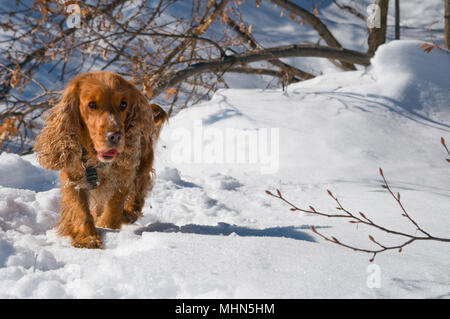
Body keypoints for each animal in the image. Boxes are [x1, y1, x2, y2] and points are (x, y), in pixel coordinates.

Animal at [33, 72, 167, 250]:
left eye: (123, 104)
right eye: (92, 104)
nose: (115, 136)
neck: (97, 162)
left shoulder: (122, 178)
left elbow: (114, 206)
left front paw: (107, 226)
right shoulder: (74, 179)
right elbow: (79, 209)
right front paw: (87, 238)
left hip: (142, 166)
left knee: (138, 193)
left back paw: (129, 212)